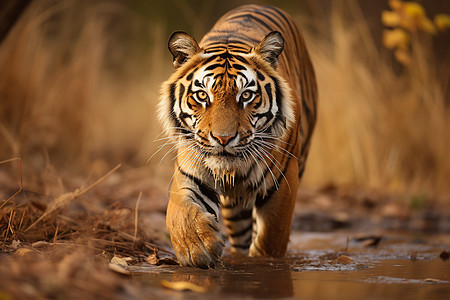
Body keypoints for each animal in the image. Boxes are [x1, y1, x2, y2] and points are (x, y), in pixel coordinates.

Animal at [158, 4, 316, 268]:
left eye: (246, 96)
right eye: (202, 95)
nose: (223, 139)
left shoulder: (282, 182)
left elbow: (271, 238)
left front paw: (263, 264)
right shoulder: (190, 169)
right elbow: (180, 213)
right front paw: (198, 246)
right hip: (234, 208)